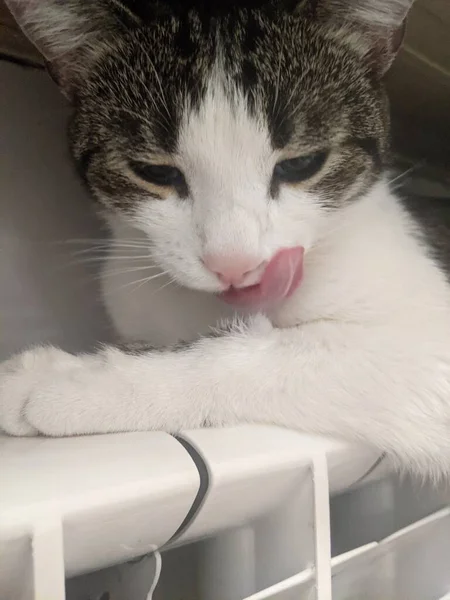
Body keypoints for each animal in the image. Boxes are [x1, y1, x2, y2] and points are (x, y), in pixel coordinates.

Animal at [1, 0, 448, 478]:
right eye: (154, 171)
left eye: (303, 163)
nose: (232, 263)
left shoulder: (424, 342)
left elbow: (258, 355)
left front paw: (71, 380)